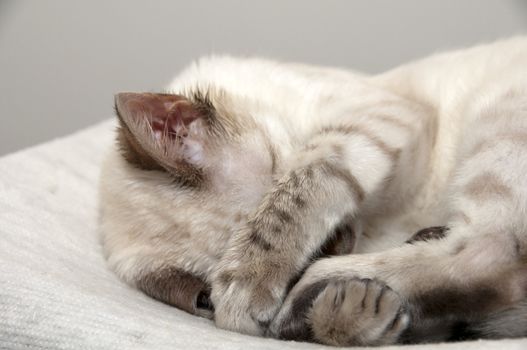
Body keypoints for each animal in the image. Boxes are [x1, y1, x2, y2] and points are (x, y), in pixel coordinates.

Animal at [99, 37, 527, 344]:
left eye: (274, 181)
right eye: (205, 300)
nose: (333, 244)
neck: (375, 227)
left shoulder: (373, 119)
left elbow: (302, 188)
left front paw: (249, 281)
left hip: (494, 124)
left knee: (489, 252)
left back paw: (311, 293)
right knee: (496, 271)